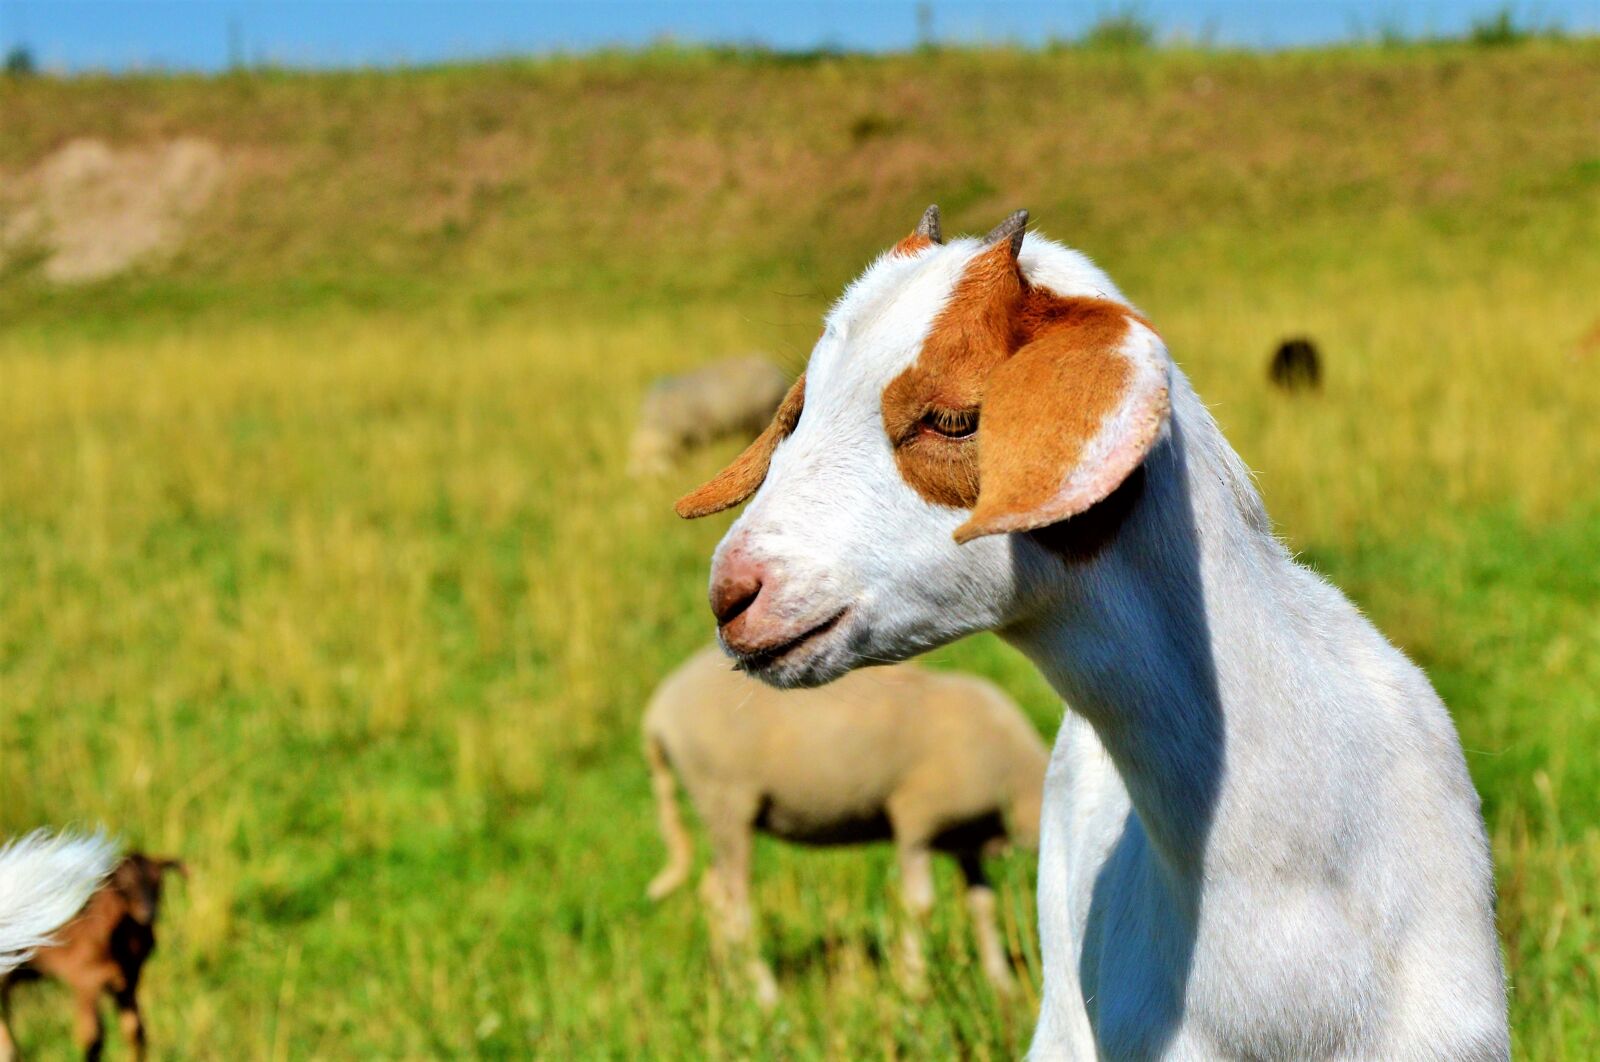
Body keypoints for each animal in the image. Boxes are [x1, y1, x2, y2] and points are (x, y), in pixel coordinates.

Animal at [1, 853, 183, 1062]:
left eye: (158, 883)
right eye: (125, 885)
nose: (148, 912)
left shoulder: (128, 980)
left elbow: (135, 1029)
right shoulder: (86, 979)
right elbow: (93, 1038)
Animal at [644, 644, 1046, 1004]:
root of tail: (658, 713)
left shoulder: (965, 839)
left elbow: (983, 904)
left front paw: (1001, 983)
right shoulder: (915, 820)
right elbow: (920, 906)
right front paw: (913, 985)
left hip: (720, 814)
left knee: (714, 894)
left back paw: (733, 986)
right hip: (726, 798)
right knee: (736, 905)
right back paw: (765, 994)